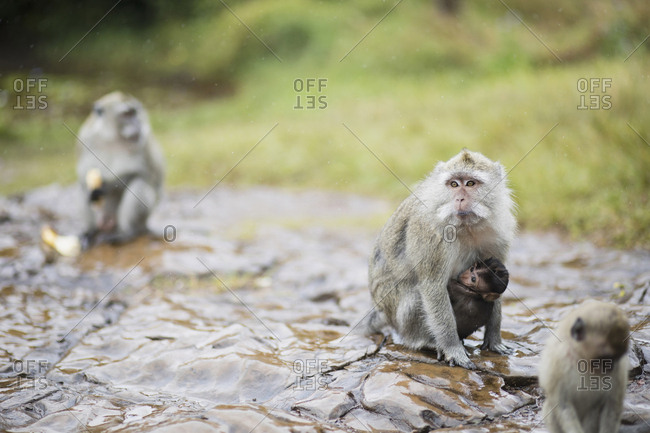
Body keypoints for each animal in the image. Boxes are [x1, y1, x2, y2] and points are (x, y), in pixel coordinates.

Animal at [76, 91, 164, 248]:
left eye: (135, 112)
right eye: (127, 114)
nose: (138, 124)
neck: (113, 140)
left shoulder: (144, 143)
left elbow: (147, 176)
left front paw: (106, 186)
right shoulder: (85, 138)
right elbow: (83, 176)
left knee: (139, 184)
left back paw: (126, 232)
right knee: (83, 189)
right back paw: (90, 231)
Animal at [367, 149, 516, 369]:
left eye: (470, 183)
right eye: (453, 184)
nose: (459, 199)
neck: (465, 226)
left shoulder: (497, 232)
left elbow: (497, 284)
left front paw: (494, 339)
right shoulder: (430, 232)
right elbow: (433, 286)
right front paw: (453, 348)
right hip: (397, 316)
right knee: (415, 298)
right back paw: (424, 342)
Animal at [539, 301, 630, 433]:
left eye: (617, 358)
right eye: (606, 358)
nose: (611, 367)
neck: (582, 360)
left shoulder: (619, 369)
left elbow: (612, 405)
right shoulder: (557, 364)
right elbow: (562, 404)